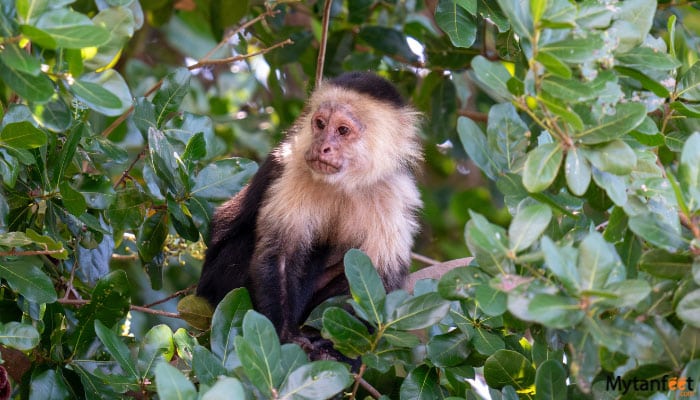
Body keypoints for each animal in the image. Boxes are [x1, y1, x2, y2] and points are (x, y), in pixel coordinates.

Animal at [196, 72, 422, 345]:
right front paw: (285, 335)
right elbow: (280, 254)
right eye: (321, 124)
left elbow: (378, 280)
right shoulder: (293, 167)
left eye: (343, 130)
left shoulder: (395, 195)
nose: (321, 146)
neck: (345, 184)